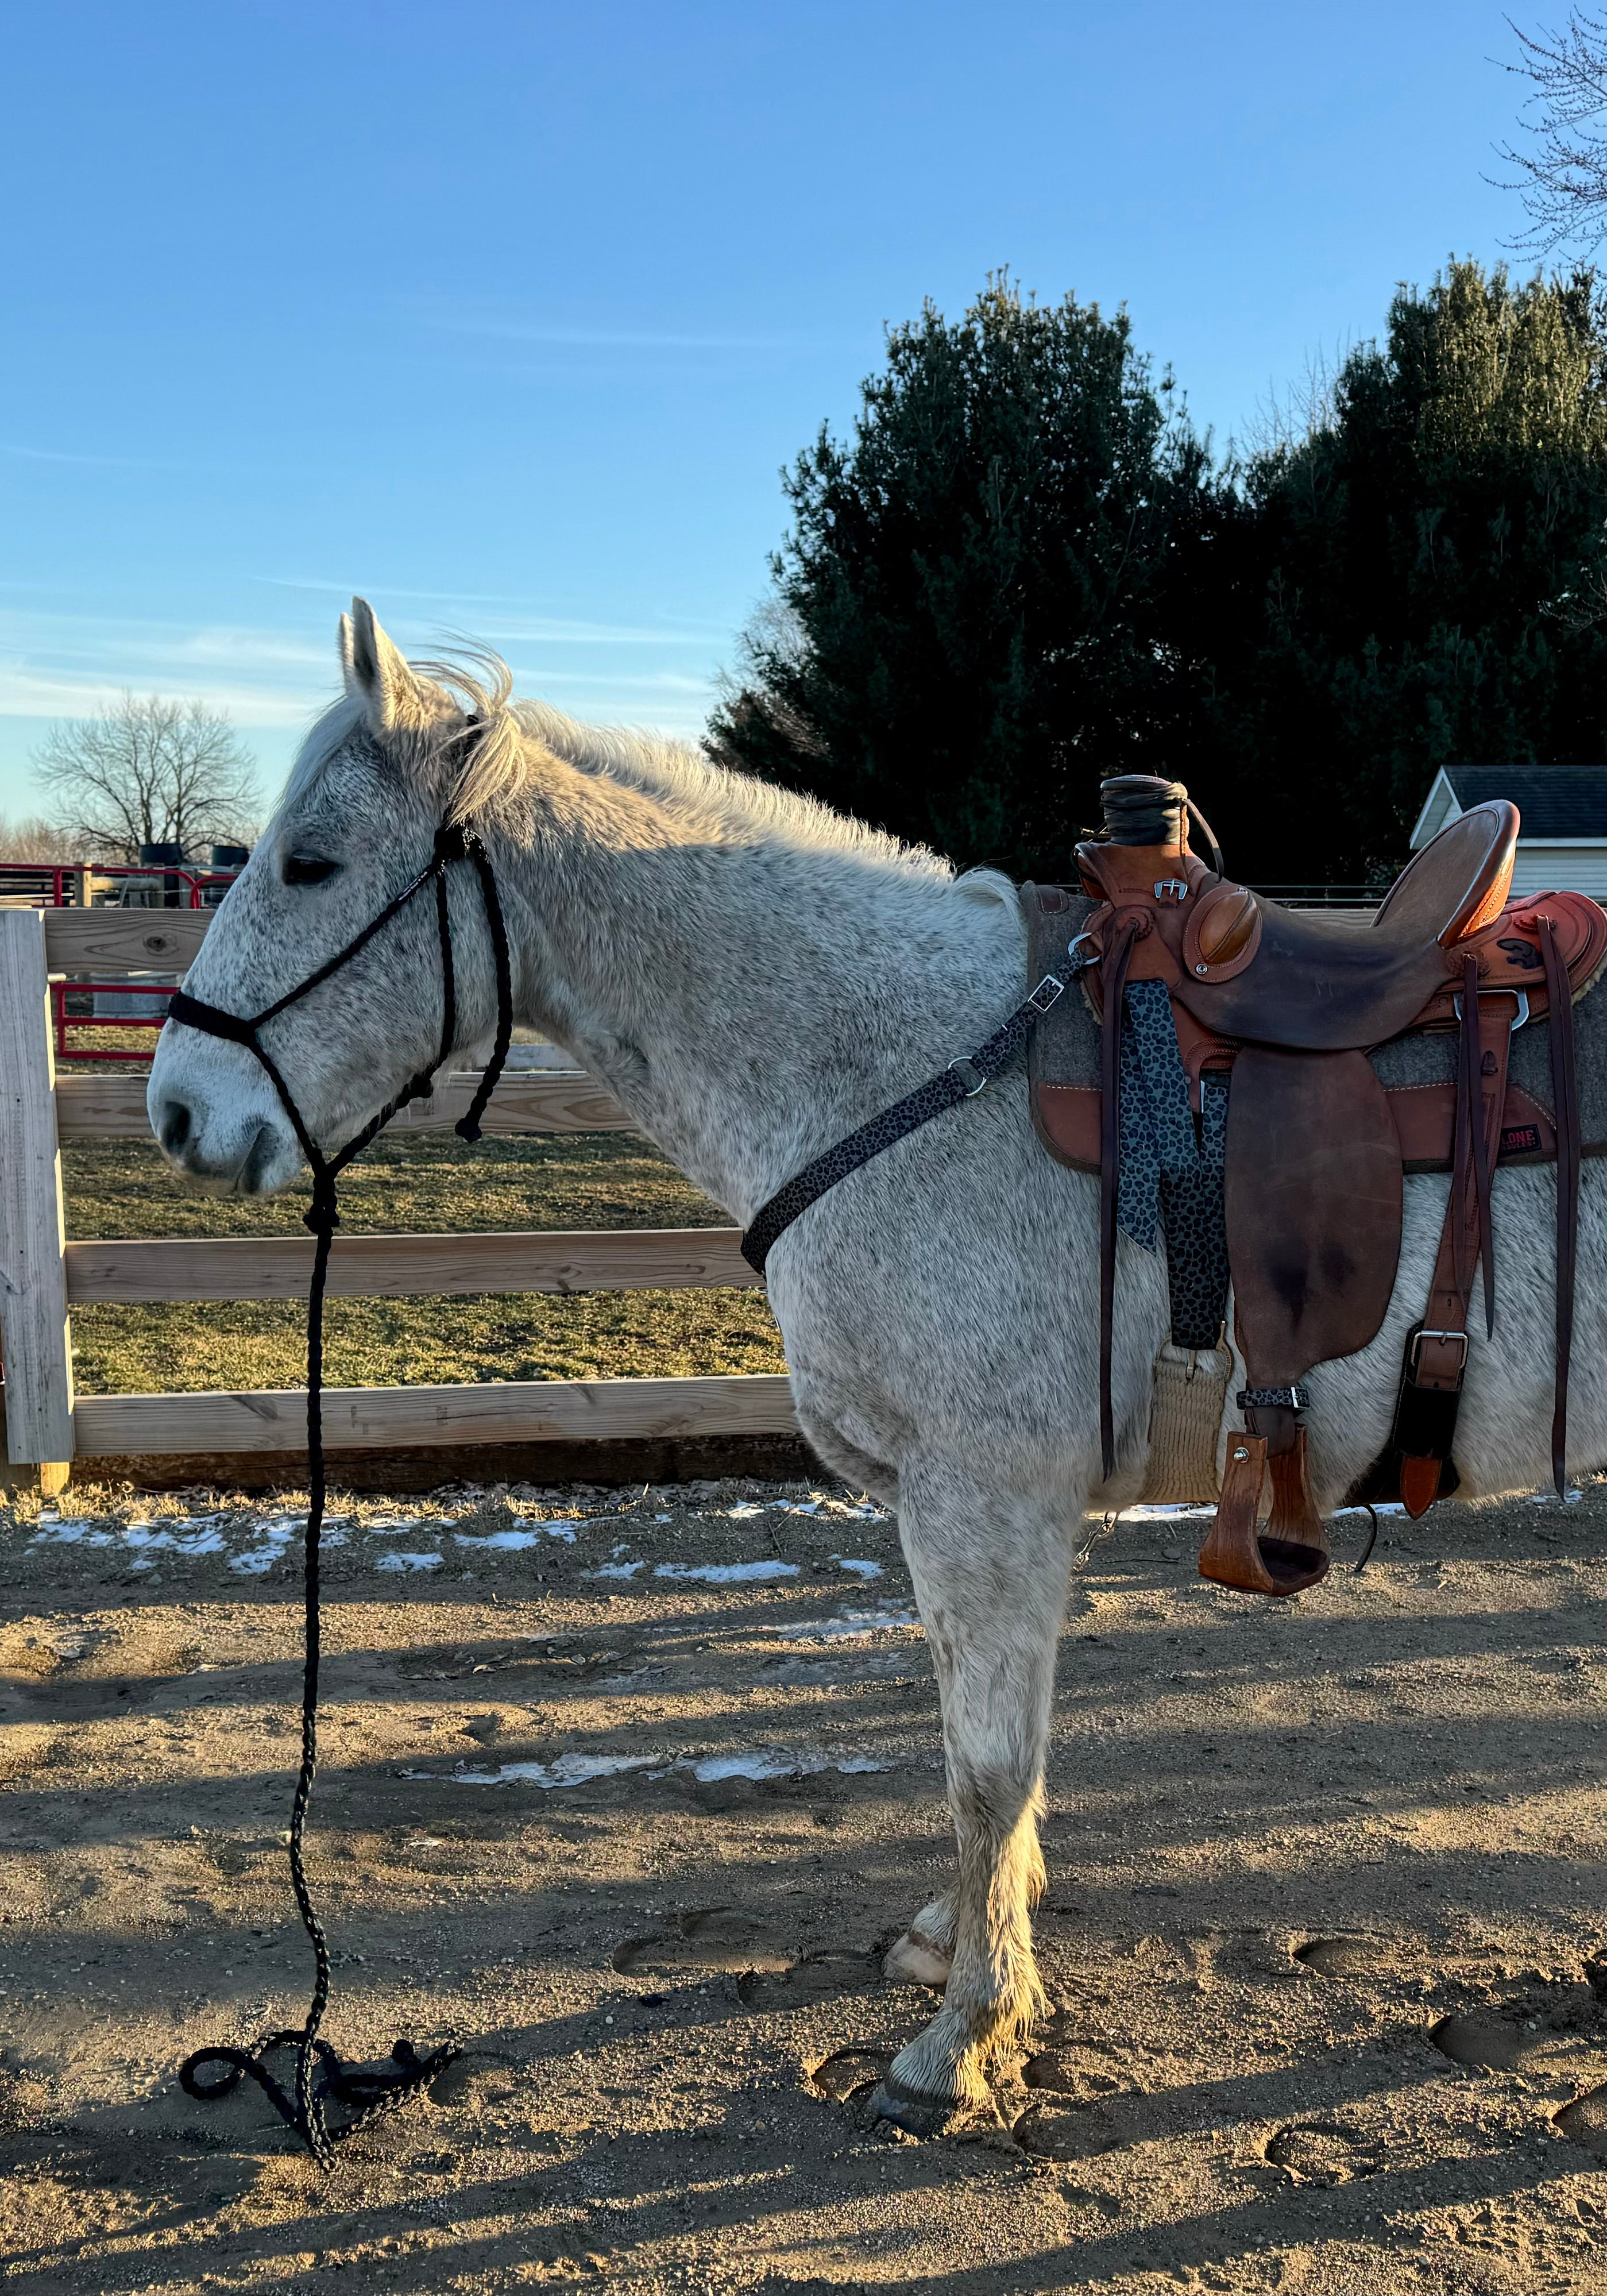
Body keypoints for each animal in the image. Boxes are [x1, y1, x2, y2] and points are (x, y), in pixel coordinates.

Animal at [144, 606, 1598, 2131]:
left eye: (311, 862)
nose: (179, 1112)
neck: (905, 1072)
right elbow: (991, 1752)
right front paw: (962, 1950)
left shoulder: (982, 1498)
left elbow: (986, 1770)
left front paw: (962, 2038)